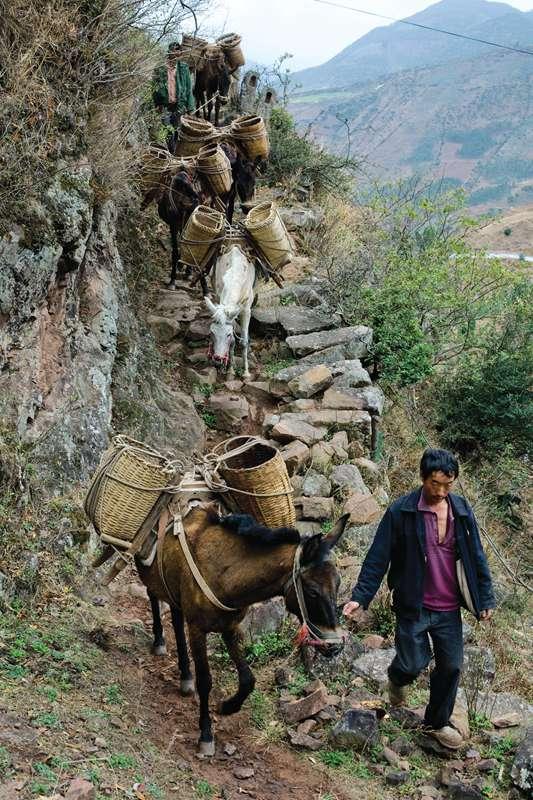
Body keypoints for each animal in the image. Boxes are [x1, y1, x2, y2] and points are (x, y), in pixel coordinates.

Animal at [203, 245, 255, 380]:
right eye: (212, 333)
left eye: (228, 334)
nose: (217, 360)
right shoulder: (219, 297)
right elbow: (233, 343)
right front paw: (230, 370)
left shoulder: (246, 310)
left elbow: (243, 342)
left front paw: (246, 372)